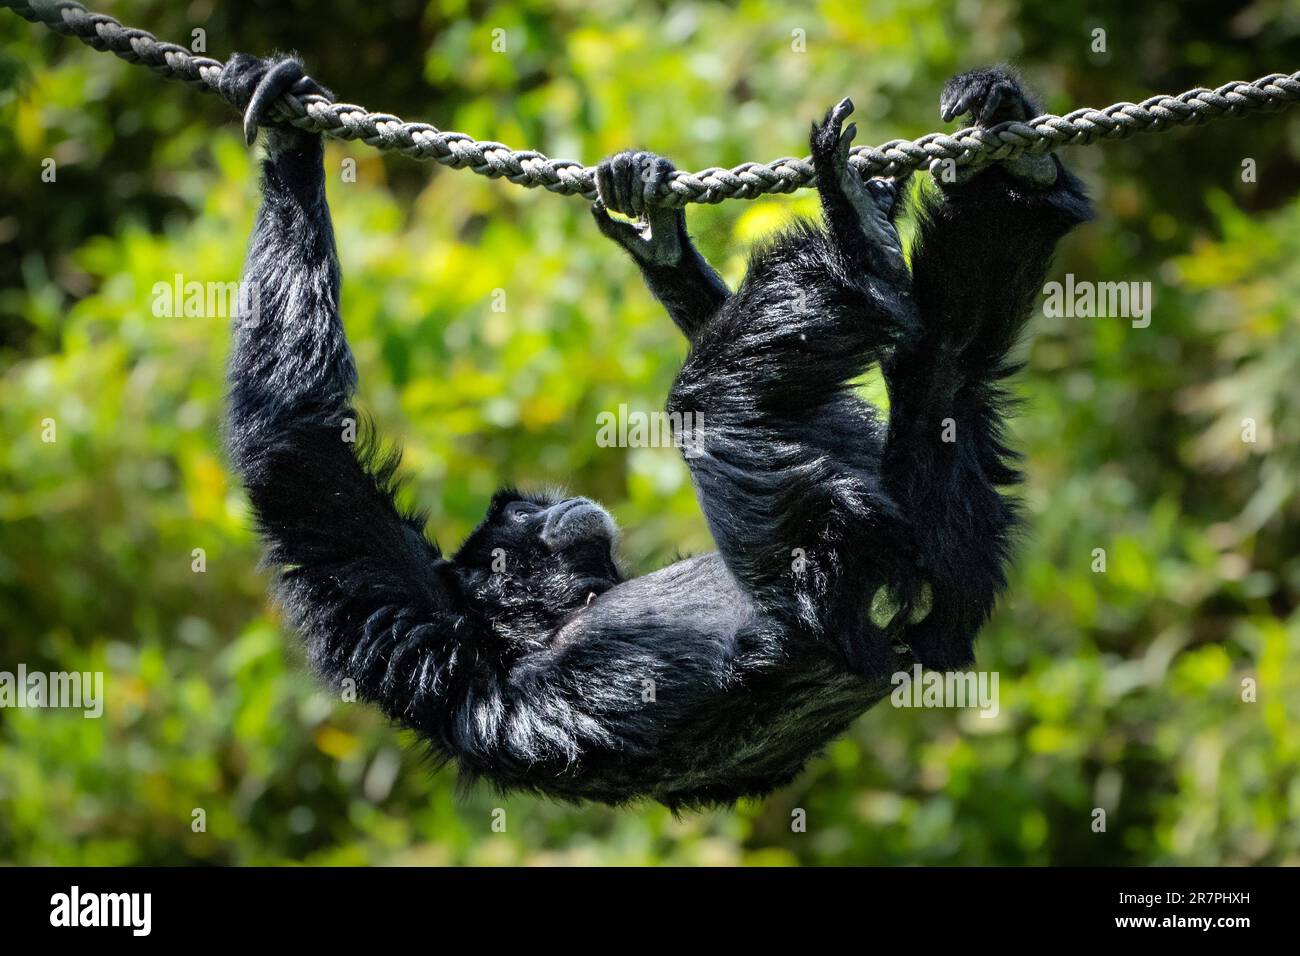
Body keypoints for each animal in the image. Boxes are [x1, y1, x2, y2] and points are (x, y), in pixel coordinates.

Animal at [220, 54, 1090, 808]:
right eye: (515, 522)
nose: (540, 506)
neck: (534, 628)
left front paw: (659, 234)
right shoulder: (424, 637)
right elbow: (293, 446)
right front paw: (287, 139)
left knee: (944, 367)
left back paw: (1018, 163)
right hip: (826, 569)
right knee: (715, 400)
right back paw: (860, 234)